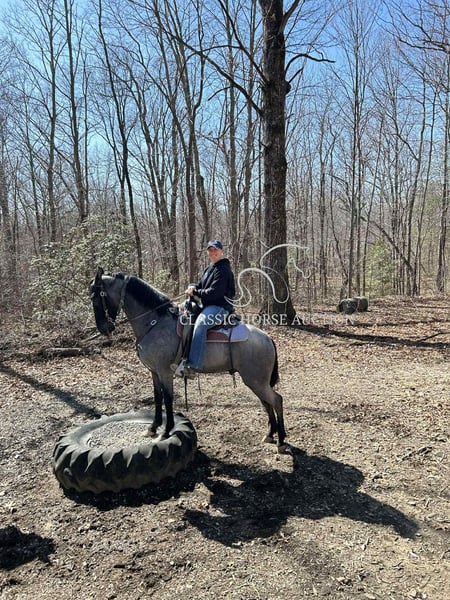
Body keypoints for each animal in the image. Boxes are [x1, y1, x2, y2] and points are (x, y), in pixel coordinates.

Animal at [90, 267, 288, 453]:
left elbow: (168, 399)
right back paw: (270, 434)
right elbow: (157, 397)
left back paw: (280, 440)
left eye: (97, 297)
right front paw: (153, 428)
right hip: (256, 381)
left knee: (276, 400)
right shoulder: (154, 372)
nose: (104, 328)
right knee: (267, 403)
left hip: (256, 381)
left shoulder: (164, 372)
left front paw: (165, 431)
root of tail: (267, 338)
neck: (155, 322)